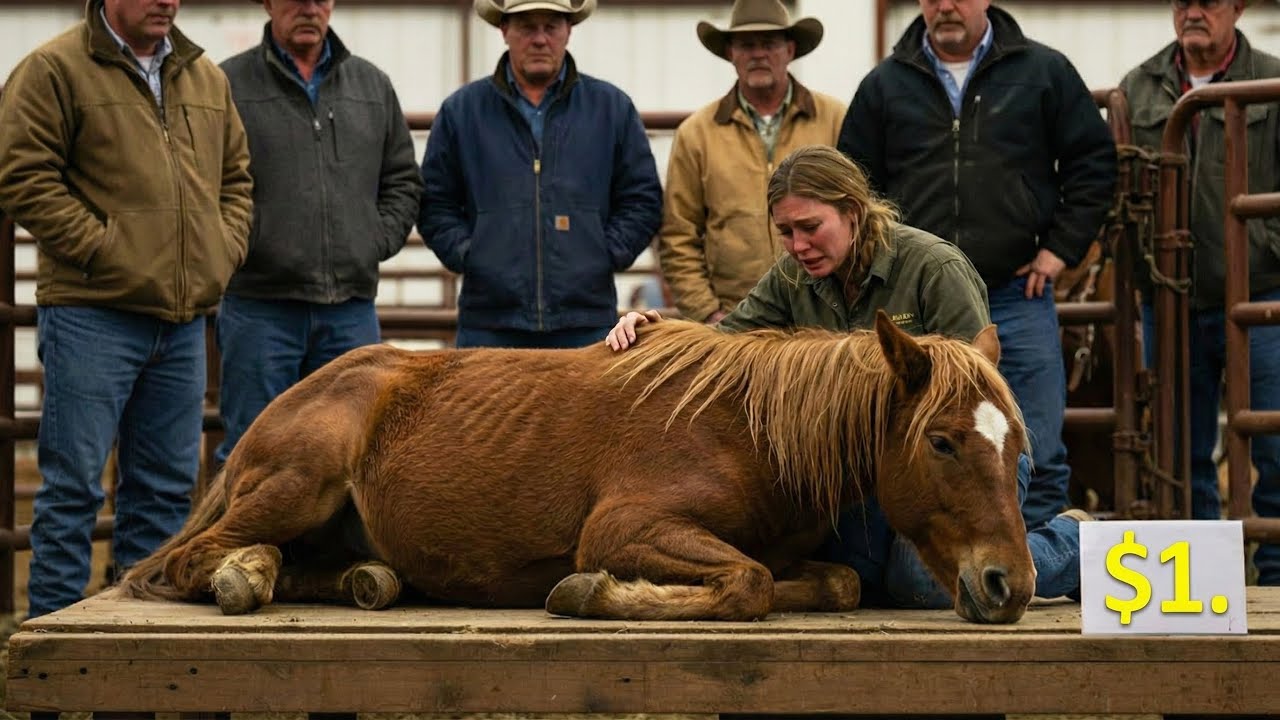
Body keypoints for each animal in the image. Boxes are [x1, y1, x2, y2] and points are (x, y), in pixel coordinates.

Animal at [113, 310, 1035, 623]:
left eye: (1015, 445)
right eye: (942, 441)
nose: (1010, 587)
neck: (748, 428)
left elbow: (833, 581)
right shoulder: (628, 527)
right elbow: (747, 584)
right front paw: (597, 593)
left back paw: (357, 580)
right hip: (299, 484)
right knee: (188, 562)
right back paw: (243, 574)